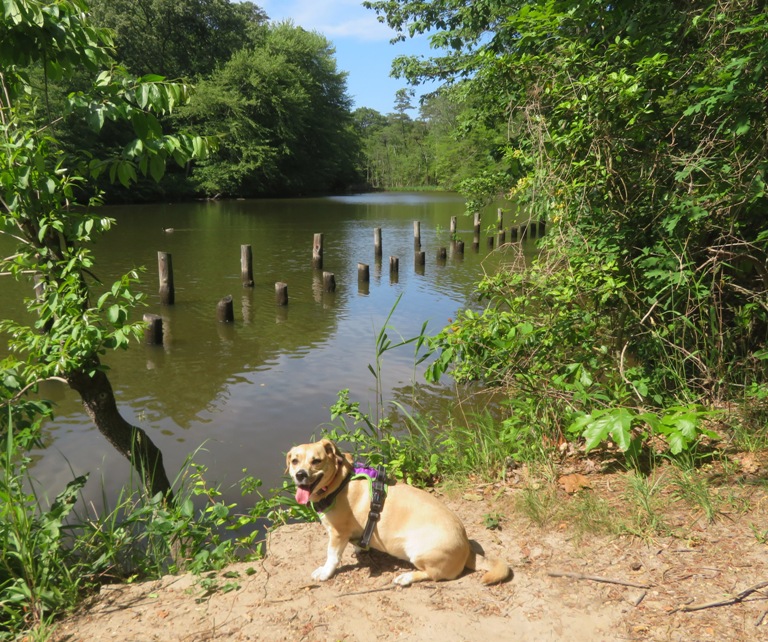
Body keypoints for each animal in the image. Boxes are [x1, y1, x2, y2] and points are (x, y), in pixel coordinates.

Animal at [284, 438, 512, 584]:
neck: (339, 482)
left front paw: (324, 573)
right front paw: (359, 547)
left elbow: (331, 557)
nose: (300, 474)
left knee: (435, 575)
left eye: (316, 461)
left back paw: (406, 578)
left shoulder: (337, 534)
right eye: (294, 461)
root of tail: (466, 547)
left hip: (417, 551)